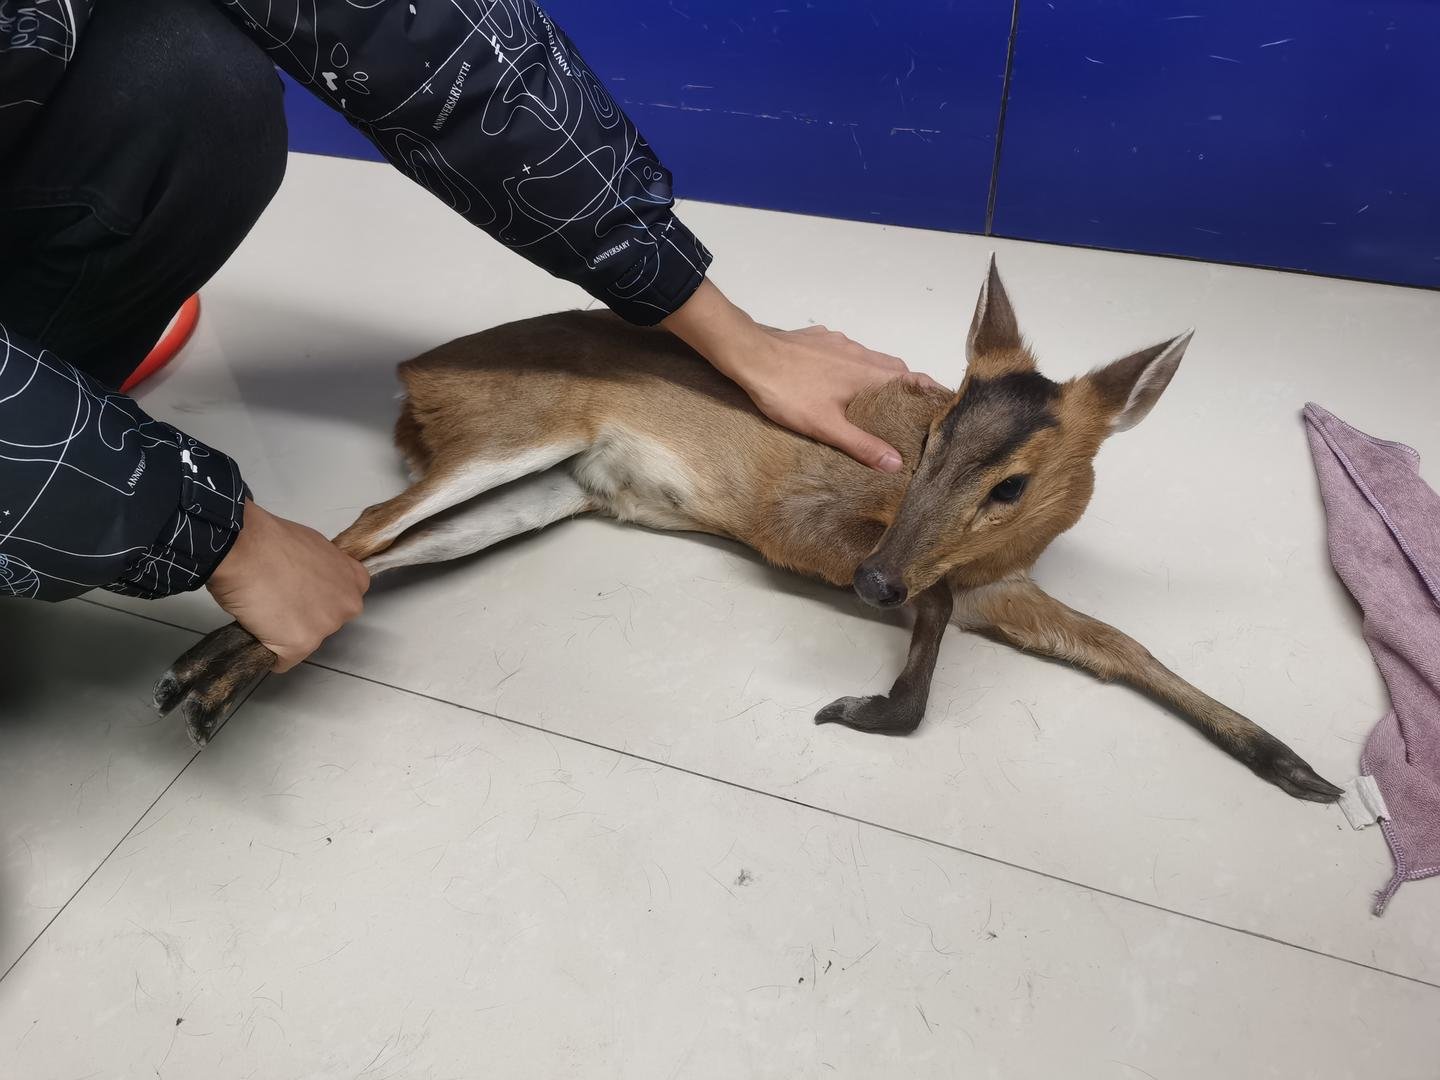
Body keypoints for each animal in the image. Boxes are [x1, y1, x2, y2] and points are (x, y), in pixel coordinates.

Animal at [152, 258, 1342, 803]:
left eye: (1015, 482)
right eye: (936, 428)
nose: (872, 589)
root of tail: (415, 380)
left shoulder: (1003, 588)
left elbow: (1124, 646)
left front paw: (1297, 768)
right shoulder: (810, 522)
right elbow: (932, 608)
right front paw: (865, 708)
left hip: (544, 494)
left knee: (364, 558)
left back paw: (212, 674)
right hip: (512, 439)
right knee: (355, 528)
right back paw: (202, 680)